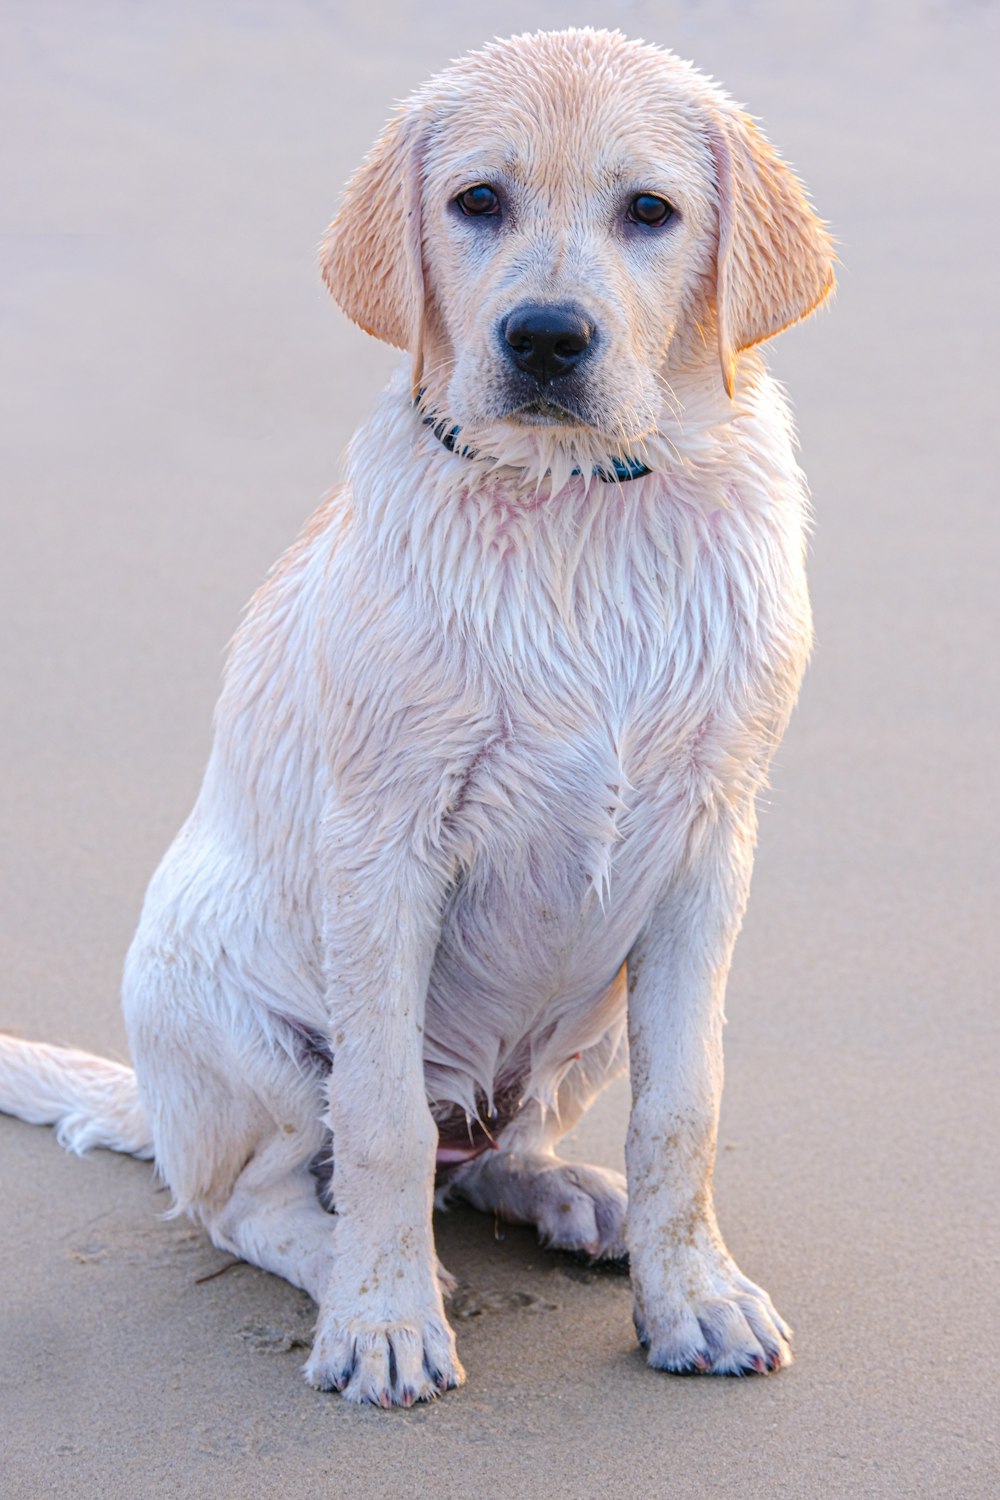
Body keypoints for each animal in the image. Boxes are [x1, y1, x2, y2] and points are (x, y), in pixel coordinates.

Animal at [0, 26, 833, 1404]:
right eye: (477, 201)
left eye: (649, 212)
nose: (544, 338)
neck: (574, 508)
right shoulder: (384, 845)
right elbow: (382, 1121)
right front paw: (383, 1319)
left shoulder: (712, 843)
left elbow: (685, 1110)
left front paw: (694, 1298)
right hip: (236, 1021)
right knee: (262, 1198)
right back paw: (359, 1270)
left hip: (590, 1010)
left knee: (494, 1150)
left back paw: (572, 1197)